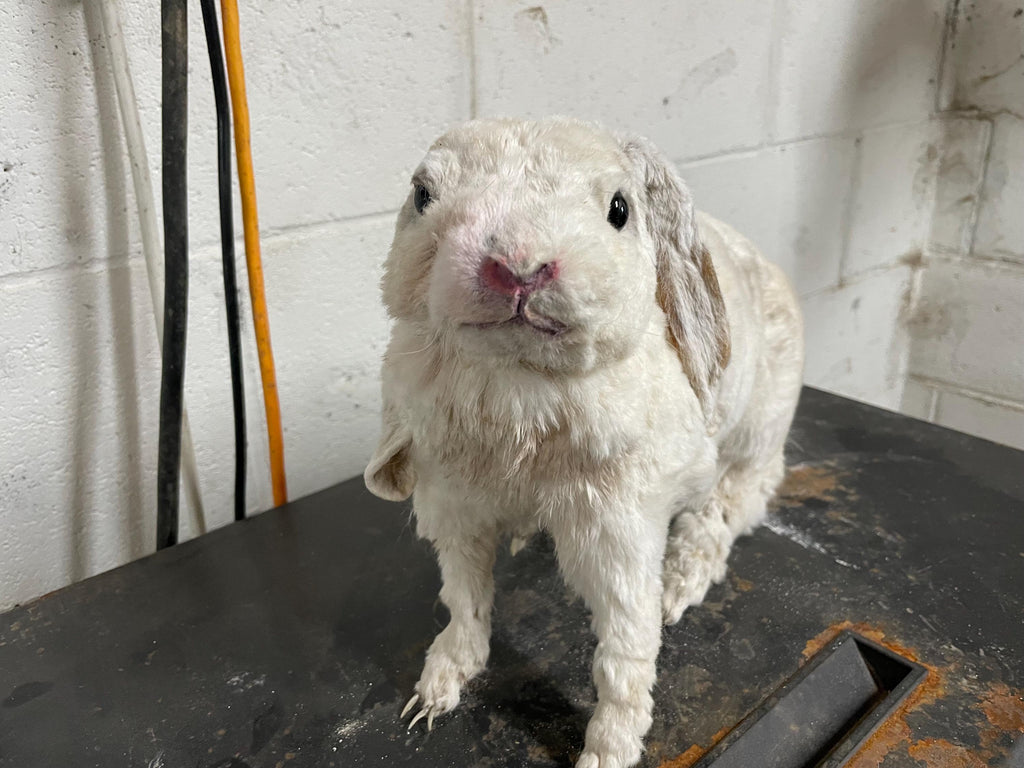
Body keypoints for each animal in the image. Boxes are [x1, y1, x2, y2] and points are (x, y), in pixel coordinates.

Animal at [364, 117, 804, 768]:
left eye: (620, 209)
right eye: (422, 194)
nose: (518, 266)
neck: (519, 388)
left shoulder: (617, 533)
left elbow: (626, 652)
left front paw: (607, 753)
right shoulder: (457, 508)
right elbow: (465, 599)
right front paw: (433, 695)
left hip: (757, 435)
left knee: (732, 505)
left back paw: (681, 584)